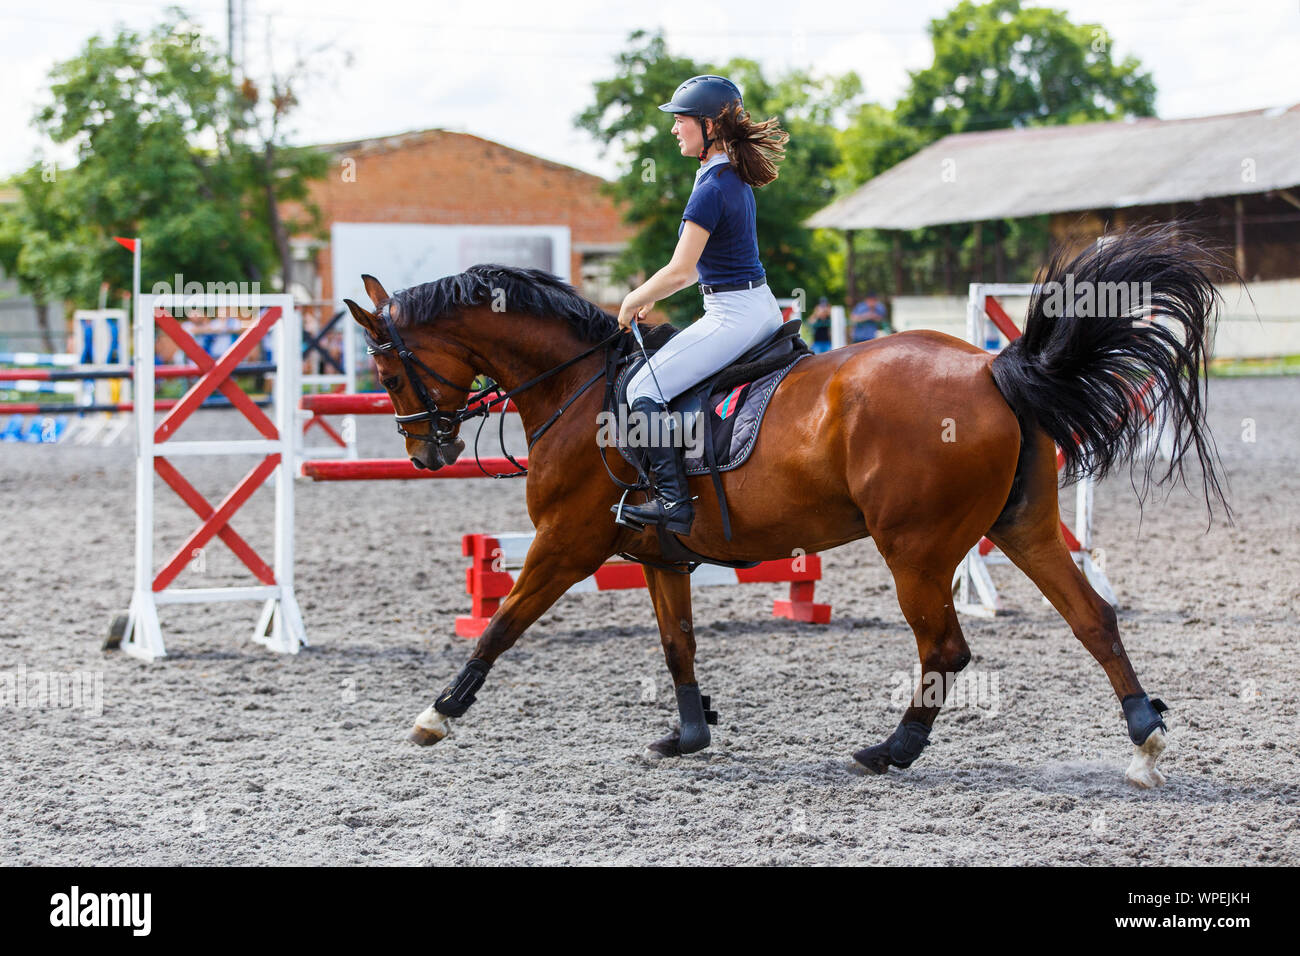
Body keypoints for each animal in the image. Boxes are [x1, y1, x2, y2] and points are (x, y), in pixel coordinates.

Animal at [343, 224, 1228, 788]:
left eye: (386, 370)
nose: (425, 453)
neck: (579, 389)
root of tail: (990, 370)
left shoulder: (565, 542)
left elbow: (500, 625)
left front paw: (435, 715)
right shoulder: (660, 557)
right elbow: (679, 647)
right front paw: (689, 736)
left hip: (915, 549)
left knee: (946, 650)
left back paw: (889, 752)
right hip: (1022, 527)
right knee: (1092, 619)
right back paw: (1145, 741)